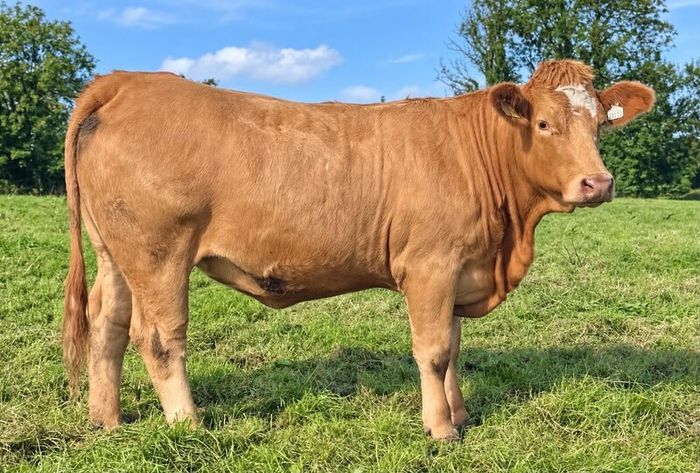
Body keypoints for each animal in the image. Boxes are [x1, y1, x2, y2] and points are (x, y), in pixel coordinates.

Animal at [63, 60, 654, 440]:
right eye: (544, 123)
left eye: (599, 125)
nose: (598, 183)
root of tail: (127, 82)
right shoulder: (429, 265)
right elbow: (433, 350)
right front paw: (440, 429)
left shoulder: (459, 268)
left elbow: (453, 348)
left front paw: (461, 416)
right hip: (159, 252)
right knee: (159, 336)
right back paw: (189, 425)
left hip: (116, 252)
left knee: (108, 323)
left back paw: (105, 420)